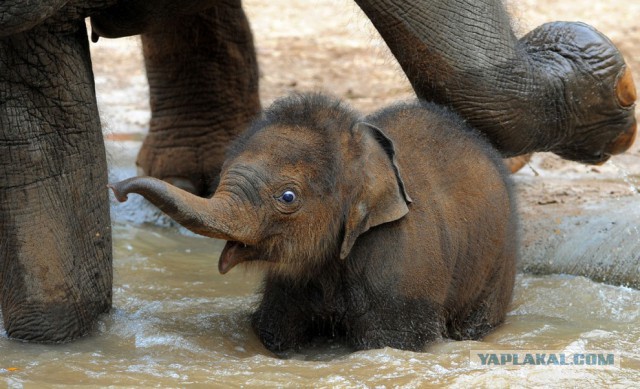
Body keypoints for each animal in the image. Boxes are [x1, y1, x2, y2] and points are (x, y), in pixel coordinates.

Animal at [111, 93, 520, 352]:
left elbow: (392, 341)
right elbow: (275, 331)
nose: (117, 190)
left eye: (288, 197)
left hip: (498, 264)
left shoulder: (401, 269)